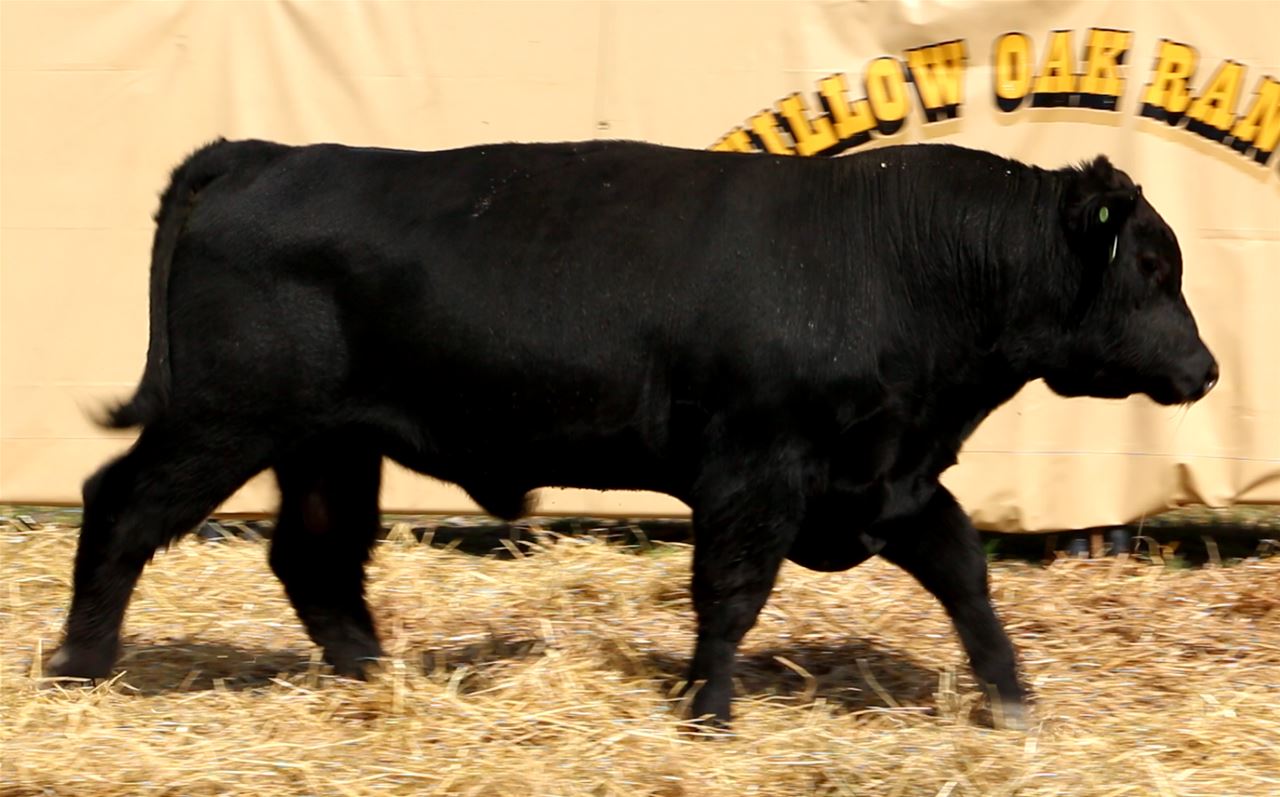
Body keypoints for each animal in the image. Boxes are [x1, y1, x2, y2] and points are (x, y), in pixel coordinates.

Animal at [46, 139, 1217, 730]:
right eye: (1153, 264)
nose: (1204, 369)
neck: (892, 254)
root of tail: (263, 151)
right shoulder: (756, 471)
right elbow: (731, 594)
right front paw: (708, 709)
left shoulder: (886, 476)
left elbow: (964, 572)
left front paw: (1012, 699)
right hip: (222, 418)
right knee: (121, 507)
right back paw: (78, 665)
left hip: (326, 441)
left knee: (314, 557)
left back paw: (373, 676)